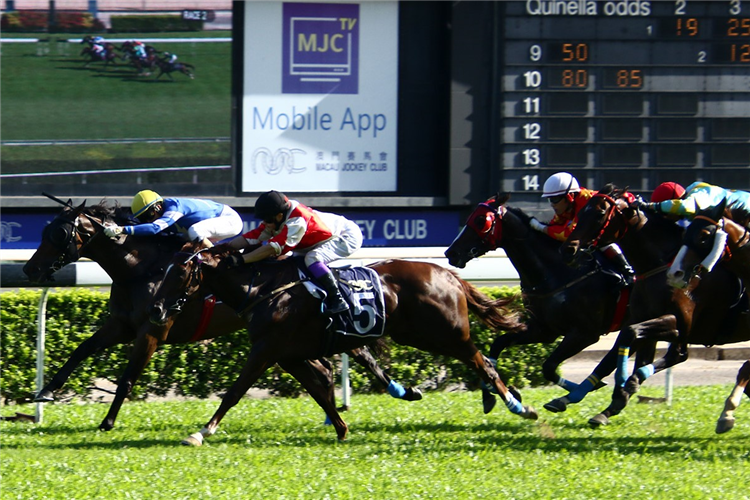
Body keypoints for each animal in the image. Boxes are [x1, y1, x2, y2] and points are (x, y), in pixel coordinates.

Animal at [22, 197, 424, 432]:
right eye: (44, 230)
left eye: (58, 234)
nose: (29, 269)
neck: (140, 268)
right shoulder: (119, 325)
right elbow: (80, 351)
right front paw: (44, 392)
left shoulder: (152, 329)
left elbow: (127, 378)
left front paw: (107, 422)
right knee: (331, 365)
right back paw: (343, 410)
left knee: (357, 350)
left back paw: (395, 391)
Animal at [150, 242, 536, 446]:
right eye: (163, 271)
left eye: (180, 273)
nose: (156, 309)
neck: (261, 290)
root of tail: (448, 274)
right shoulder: (290, 356)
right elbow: (319, 389)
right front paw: (341, 428)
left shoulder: (266, 350)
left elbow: (234, 391)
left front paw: (201, 431)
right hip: (419, 335)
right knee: (479, 360)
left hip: (445, 334)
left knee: (481, 361)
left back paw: (519, 406)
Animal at [446, 193, 636, 412]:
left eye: (480, 220)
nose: (451, 253)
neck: (558, 273)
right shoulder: (544, 329)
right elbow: (498, 344)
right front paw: (491, 393)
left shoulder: (585, 333)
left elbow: (548, 367)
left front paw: (575, 392)